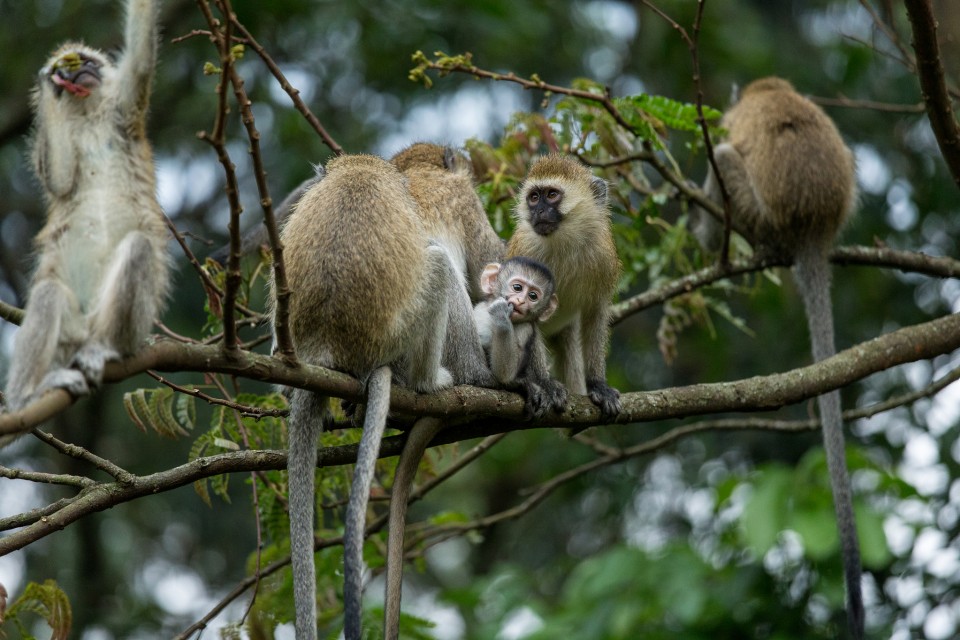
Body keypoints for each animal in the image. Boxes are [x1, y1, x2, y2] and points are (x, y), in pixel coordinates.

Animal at [2, 0, 169, 439]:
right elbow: (60, 179)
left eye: (91, 63)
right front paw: (49, 82)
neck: (90, 115)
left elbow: (140, 59)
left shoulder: (124, 109)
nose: (83, 73)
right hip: (69, 333)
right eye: (74, 70)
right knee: (48, 293)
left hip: (127, 324)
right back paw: (25, 397)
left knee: (138, 248)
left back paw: (104, 349)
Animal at [275, 153, 499, 640]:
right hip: (402, 337)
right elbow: (489, 265)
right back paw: (442, 381)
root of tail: (326, 347)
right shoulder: (465, 203)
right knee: (437, 262)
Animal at [506, 154, 623, 418]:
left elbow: (596, 313)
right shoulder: (525, 251)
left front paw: (598, 384)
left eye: (551, 195)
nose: (538, 210)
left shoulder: (604, 257)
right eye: (534, 197)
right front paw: (546, 384)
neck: (564, 242)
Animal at [690, 76, 863, 639]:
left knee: (723, 158)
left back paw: (709, 237)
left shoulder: (726, 124)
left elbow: (722, 143)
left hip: (756, 211)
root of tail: (814, 227)